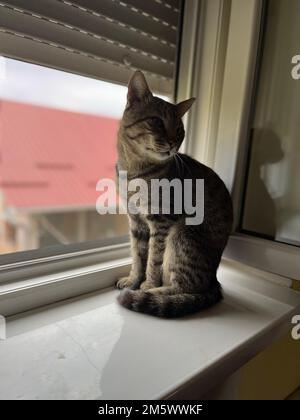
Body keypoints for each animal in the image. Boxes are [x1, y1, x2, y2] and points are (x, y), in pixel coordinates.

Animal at [115, 70, 232, 316]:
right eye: (156, 121)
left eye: (179, 130)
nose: (171, 143)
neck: (134, 170)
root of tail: (215, 280)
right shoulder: (136, 221)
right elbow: (137, 256)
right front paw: (133, 280)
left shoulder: (161, 220)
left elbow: (153, 259)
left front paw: (146, 284)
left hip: (184, 235)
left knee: (188, 287)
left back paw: (152, 293)